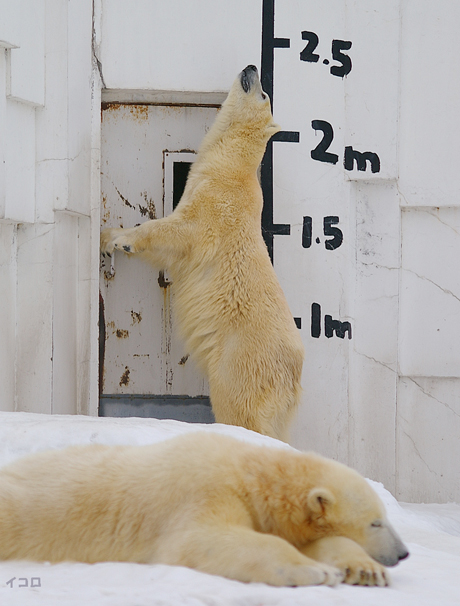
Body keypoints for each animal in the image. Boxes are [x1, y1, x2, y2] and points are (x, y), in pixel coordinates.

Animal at [0, 434, 408, 588]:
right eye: (375, 522)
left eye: (386, 516)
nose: (404, 553)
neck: (250, 473)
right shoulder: (205, 490)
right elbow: (201, 540)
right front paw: (317, 572)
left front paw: (364, 570)